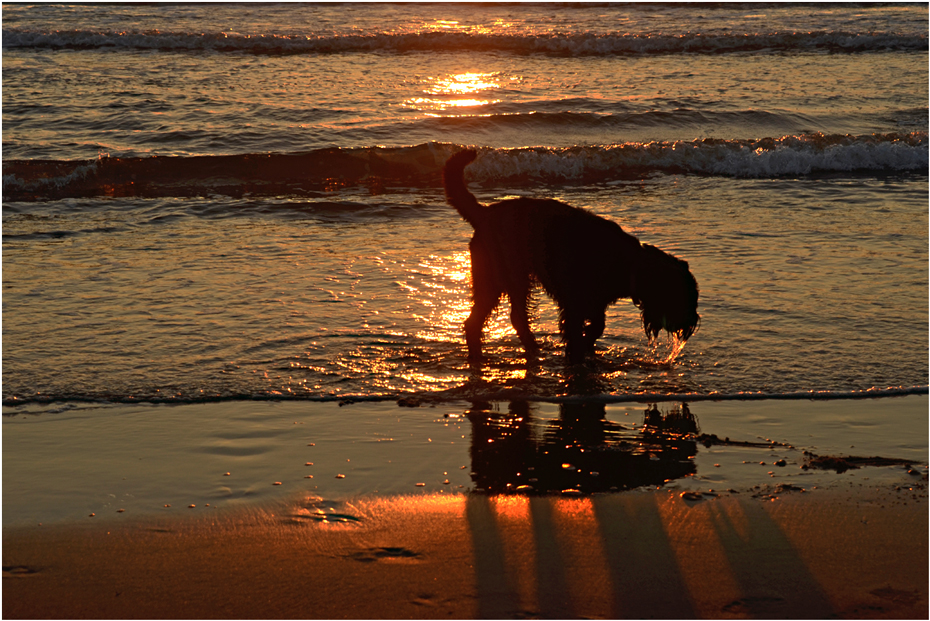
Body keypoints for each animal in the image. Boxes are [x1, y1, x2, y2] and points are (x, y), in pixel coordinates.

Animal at [442, 149, 696, 364]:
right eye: (681, 296)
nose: (691, 323)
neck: (629, 262)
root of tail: (483, 213)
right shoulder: (574, 304)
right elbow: (577, 329)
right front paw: (577, 352)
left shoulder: (595, 303)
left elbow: (597, 326)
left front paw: (587, 346)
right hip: (498, 279)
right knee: (478, 321)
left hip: (512, 281)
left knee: (514, 318)